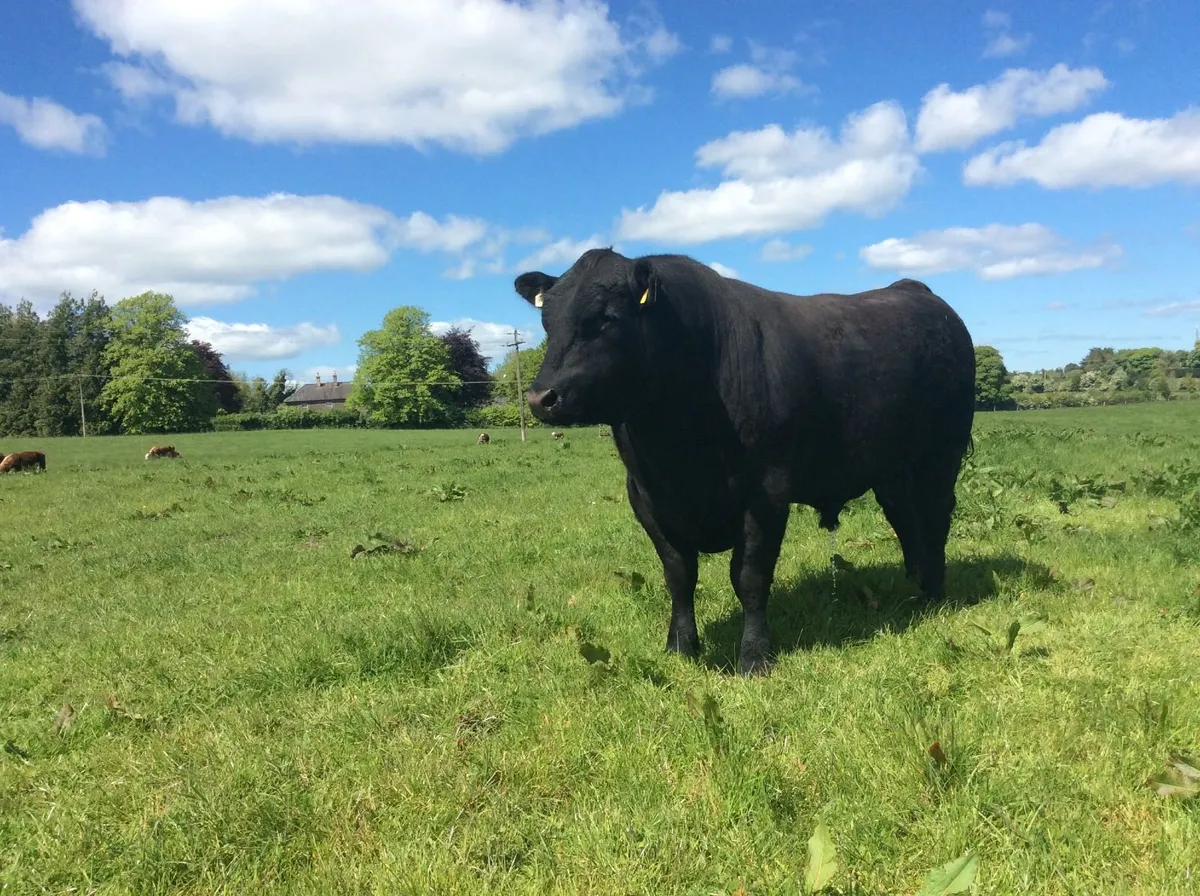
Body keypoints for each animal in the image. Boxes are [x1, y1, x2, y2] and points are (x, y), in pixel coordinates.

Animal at [511, 248, 976, 675]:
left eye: (607, 317)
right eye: (547, 321)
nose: (541, 397)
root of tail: (915, 289)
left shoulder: (766, 492)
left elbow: (749, 577)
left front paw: (754, 657)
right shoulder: (644, 498)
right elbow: (678, 575)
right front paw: (680, 647)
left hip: (942, 451)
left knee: (934, 516)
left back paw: (934, 595)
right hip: (892, 466)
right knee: (905, 518)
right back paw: (913, 584)